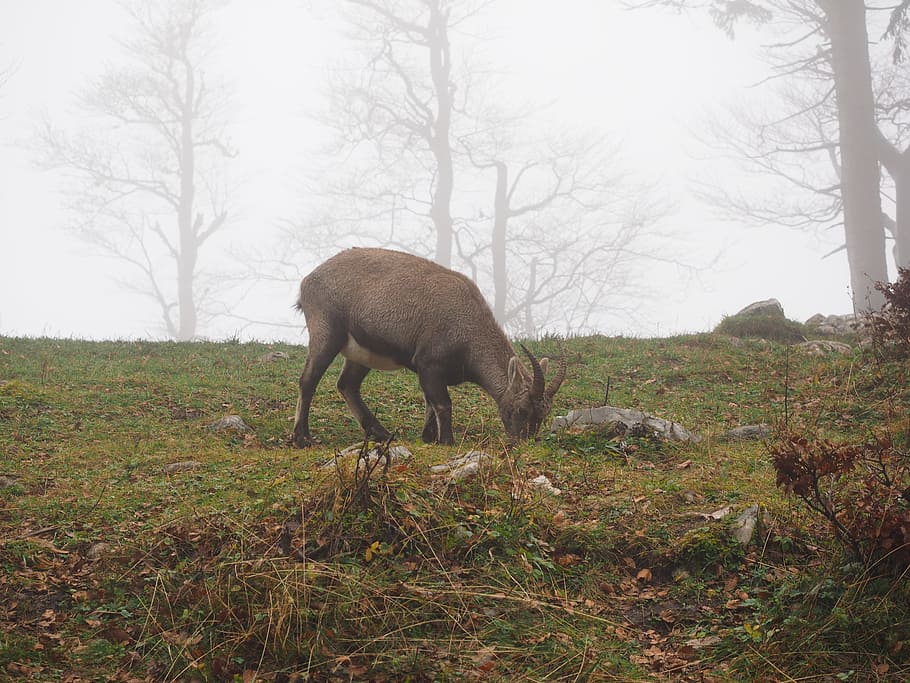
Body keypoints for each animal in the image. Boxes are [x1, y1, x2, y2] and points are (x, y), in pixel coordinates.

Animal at [291, 247, 566, 447]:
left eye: (543, 415)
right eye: (521, 408)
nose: (523, 442)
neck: (469, 327)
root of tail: (307, 281)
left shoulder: (431, 372)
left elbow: (430, 402)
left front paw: (429, 437)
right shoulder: (429, 364)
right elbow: (442, 403)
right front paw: (447, 440)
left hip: (361, 353)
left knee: (347, 385)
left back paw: (380, 432)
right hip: (326, 333)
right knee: (308, 380)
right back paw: (302, 438)